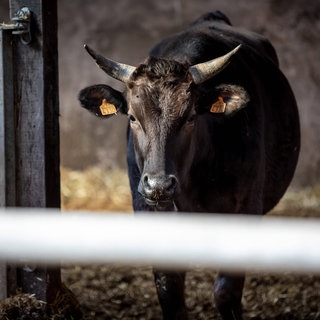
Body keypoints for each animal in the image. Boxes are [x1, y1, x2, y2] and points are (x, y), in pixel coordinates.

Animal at [78, 10, 300, 320]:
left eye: (192, 116)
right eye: (132, 117)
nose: (158, 184)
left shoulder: (246, 209)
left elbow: (226, 292)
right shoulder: (150, 212)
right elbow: (169, 289)